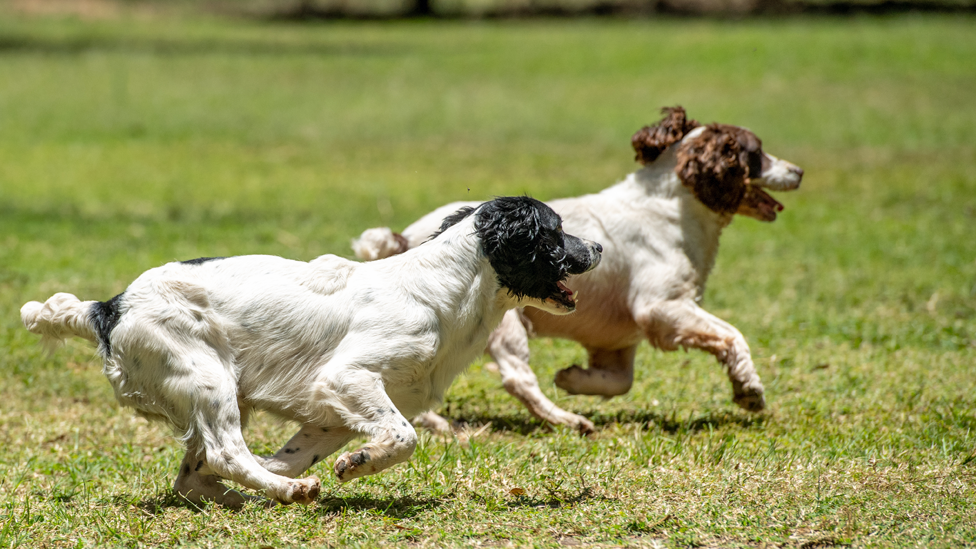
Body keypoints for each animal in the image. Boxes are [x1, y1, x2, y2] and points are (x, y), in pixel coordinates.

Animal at [21, 196, 604, 506]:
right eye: (555, 231)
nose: (597, 246)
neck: (444, 288)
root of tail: (108, 306)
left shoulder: (330, 414)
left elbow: (293, 450)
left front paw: (336, 463)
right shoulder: (347, 378)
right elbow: (405, 437)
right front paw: (358, 463)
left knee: (196, 472)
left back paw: (249, 494)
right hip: (208, 379)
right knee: (224, 453)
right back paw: (289, 492)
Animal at [354, 106, 804, 432]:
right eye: (756, 152)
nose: (799, 171)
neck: (672, 208)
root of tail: (406, 240)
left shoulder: (618, 341)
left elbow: (620, 381)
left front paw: (572, 377)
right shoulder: (661, 308)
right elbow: (731, 336)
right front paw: (750, 391)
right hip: (503, 322)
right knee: (517, 377)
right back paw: (565, 421)